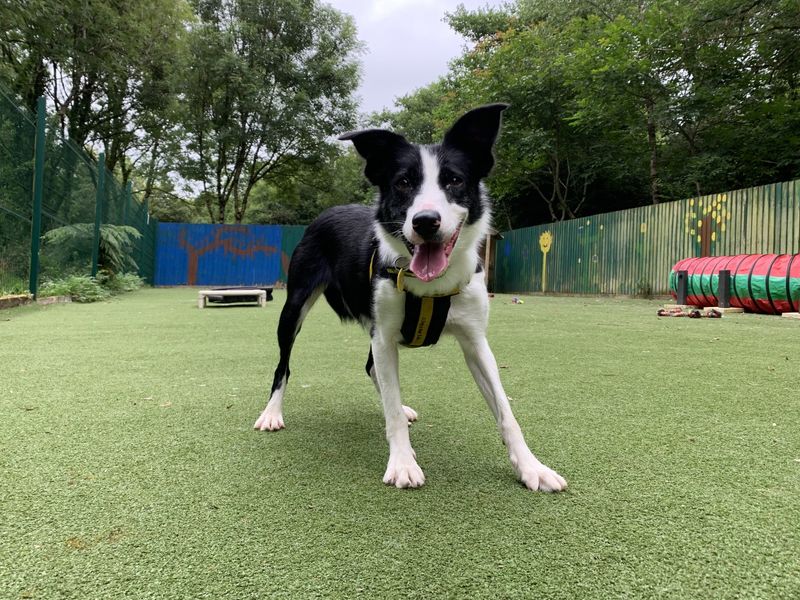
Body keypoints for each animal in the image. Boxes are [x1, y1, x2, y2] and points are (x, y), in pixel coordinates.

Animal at [253, 105, 564, 492]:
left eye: (454, 180)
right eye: (403, 182)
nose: (425, 221)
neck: (431, 286)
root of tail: (327, 211)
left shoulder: (476, 342)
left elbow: (506, 412)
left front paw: (532, 466)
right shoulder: (384, 336)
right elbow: (390, 402)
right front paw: (402, 462)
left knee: (372, 369)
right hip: (294, 307)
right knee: (285, 364)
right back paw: (272, 413)